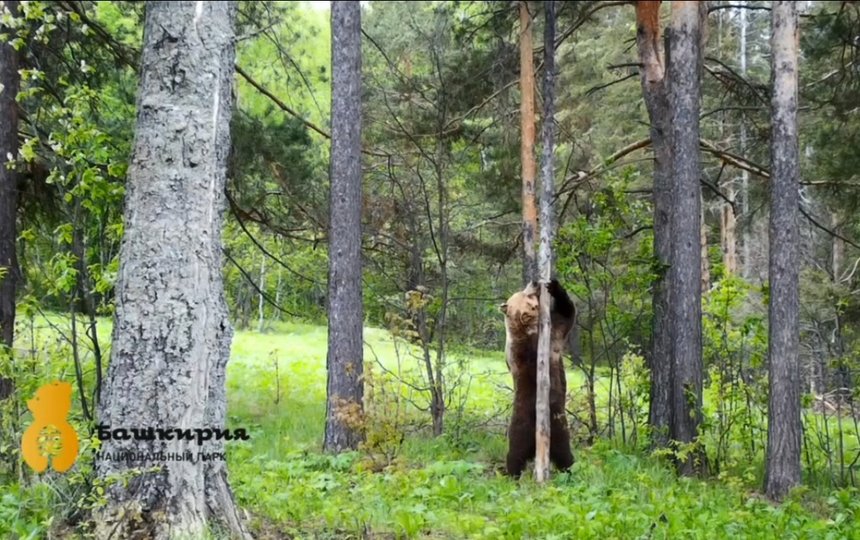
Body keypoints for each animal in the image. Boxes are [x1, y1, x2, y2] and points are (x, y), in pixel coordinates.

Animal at [498, 278, 576, 476]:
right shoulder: (524, 345)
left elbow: (566, 314)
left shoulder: (550, 334)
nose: (534, 282)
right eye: (525, 292)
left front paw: (552, 285)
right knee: (516, 455)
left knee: (563, 455)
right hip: (524, 427)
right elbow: (567, 314)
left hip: (552, 426)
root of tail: (535, 446)